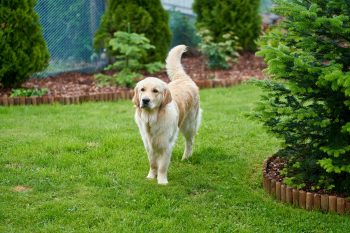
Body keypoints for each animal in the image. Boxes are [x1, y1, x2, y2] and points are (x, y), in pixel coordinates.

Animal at [132, 44, 202, 185]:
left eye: (155, 91)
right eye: (142, 89)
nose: (145, 100)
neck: (152, 119)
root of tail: (183, 78)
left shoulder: (166, 144)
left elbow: (162, 165)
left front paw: (162, 181)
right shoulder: (148, 144)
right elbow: (153, 163)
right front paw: (151, 176)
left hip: (189, 125)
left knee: (190, 141)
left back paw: (186, 157)